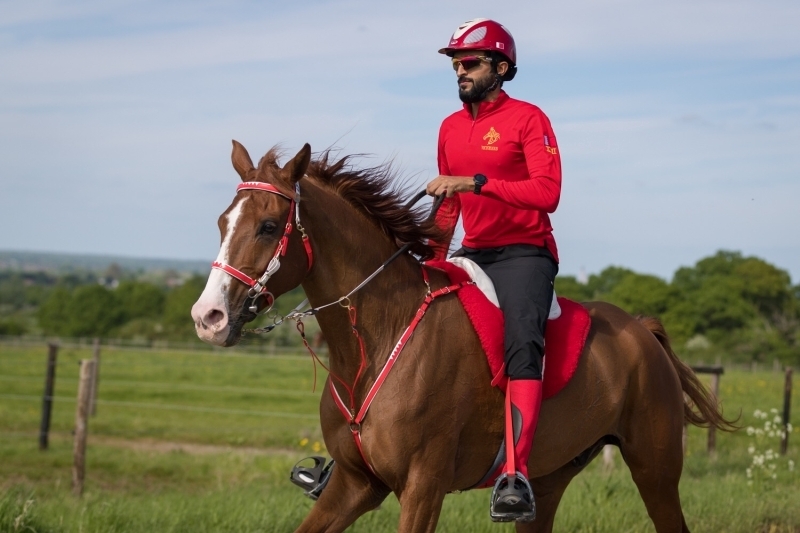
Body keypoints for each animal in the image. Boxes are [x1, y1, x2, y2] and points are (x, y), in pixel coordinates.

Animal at [192, 142, 732, 532]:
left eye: (268, 226)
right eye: (222, 223)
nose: (208, 317)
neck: (377, 343)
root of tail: (641, 331)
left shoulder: (423, 489)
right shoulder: (354, 484)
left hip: (655, 471)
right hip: (548, 481)